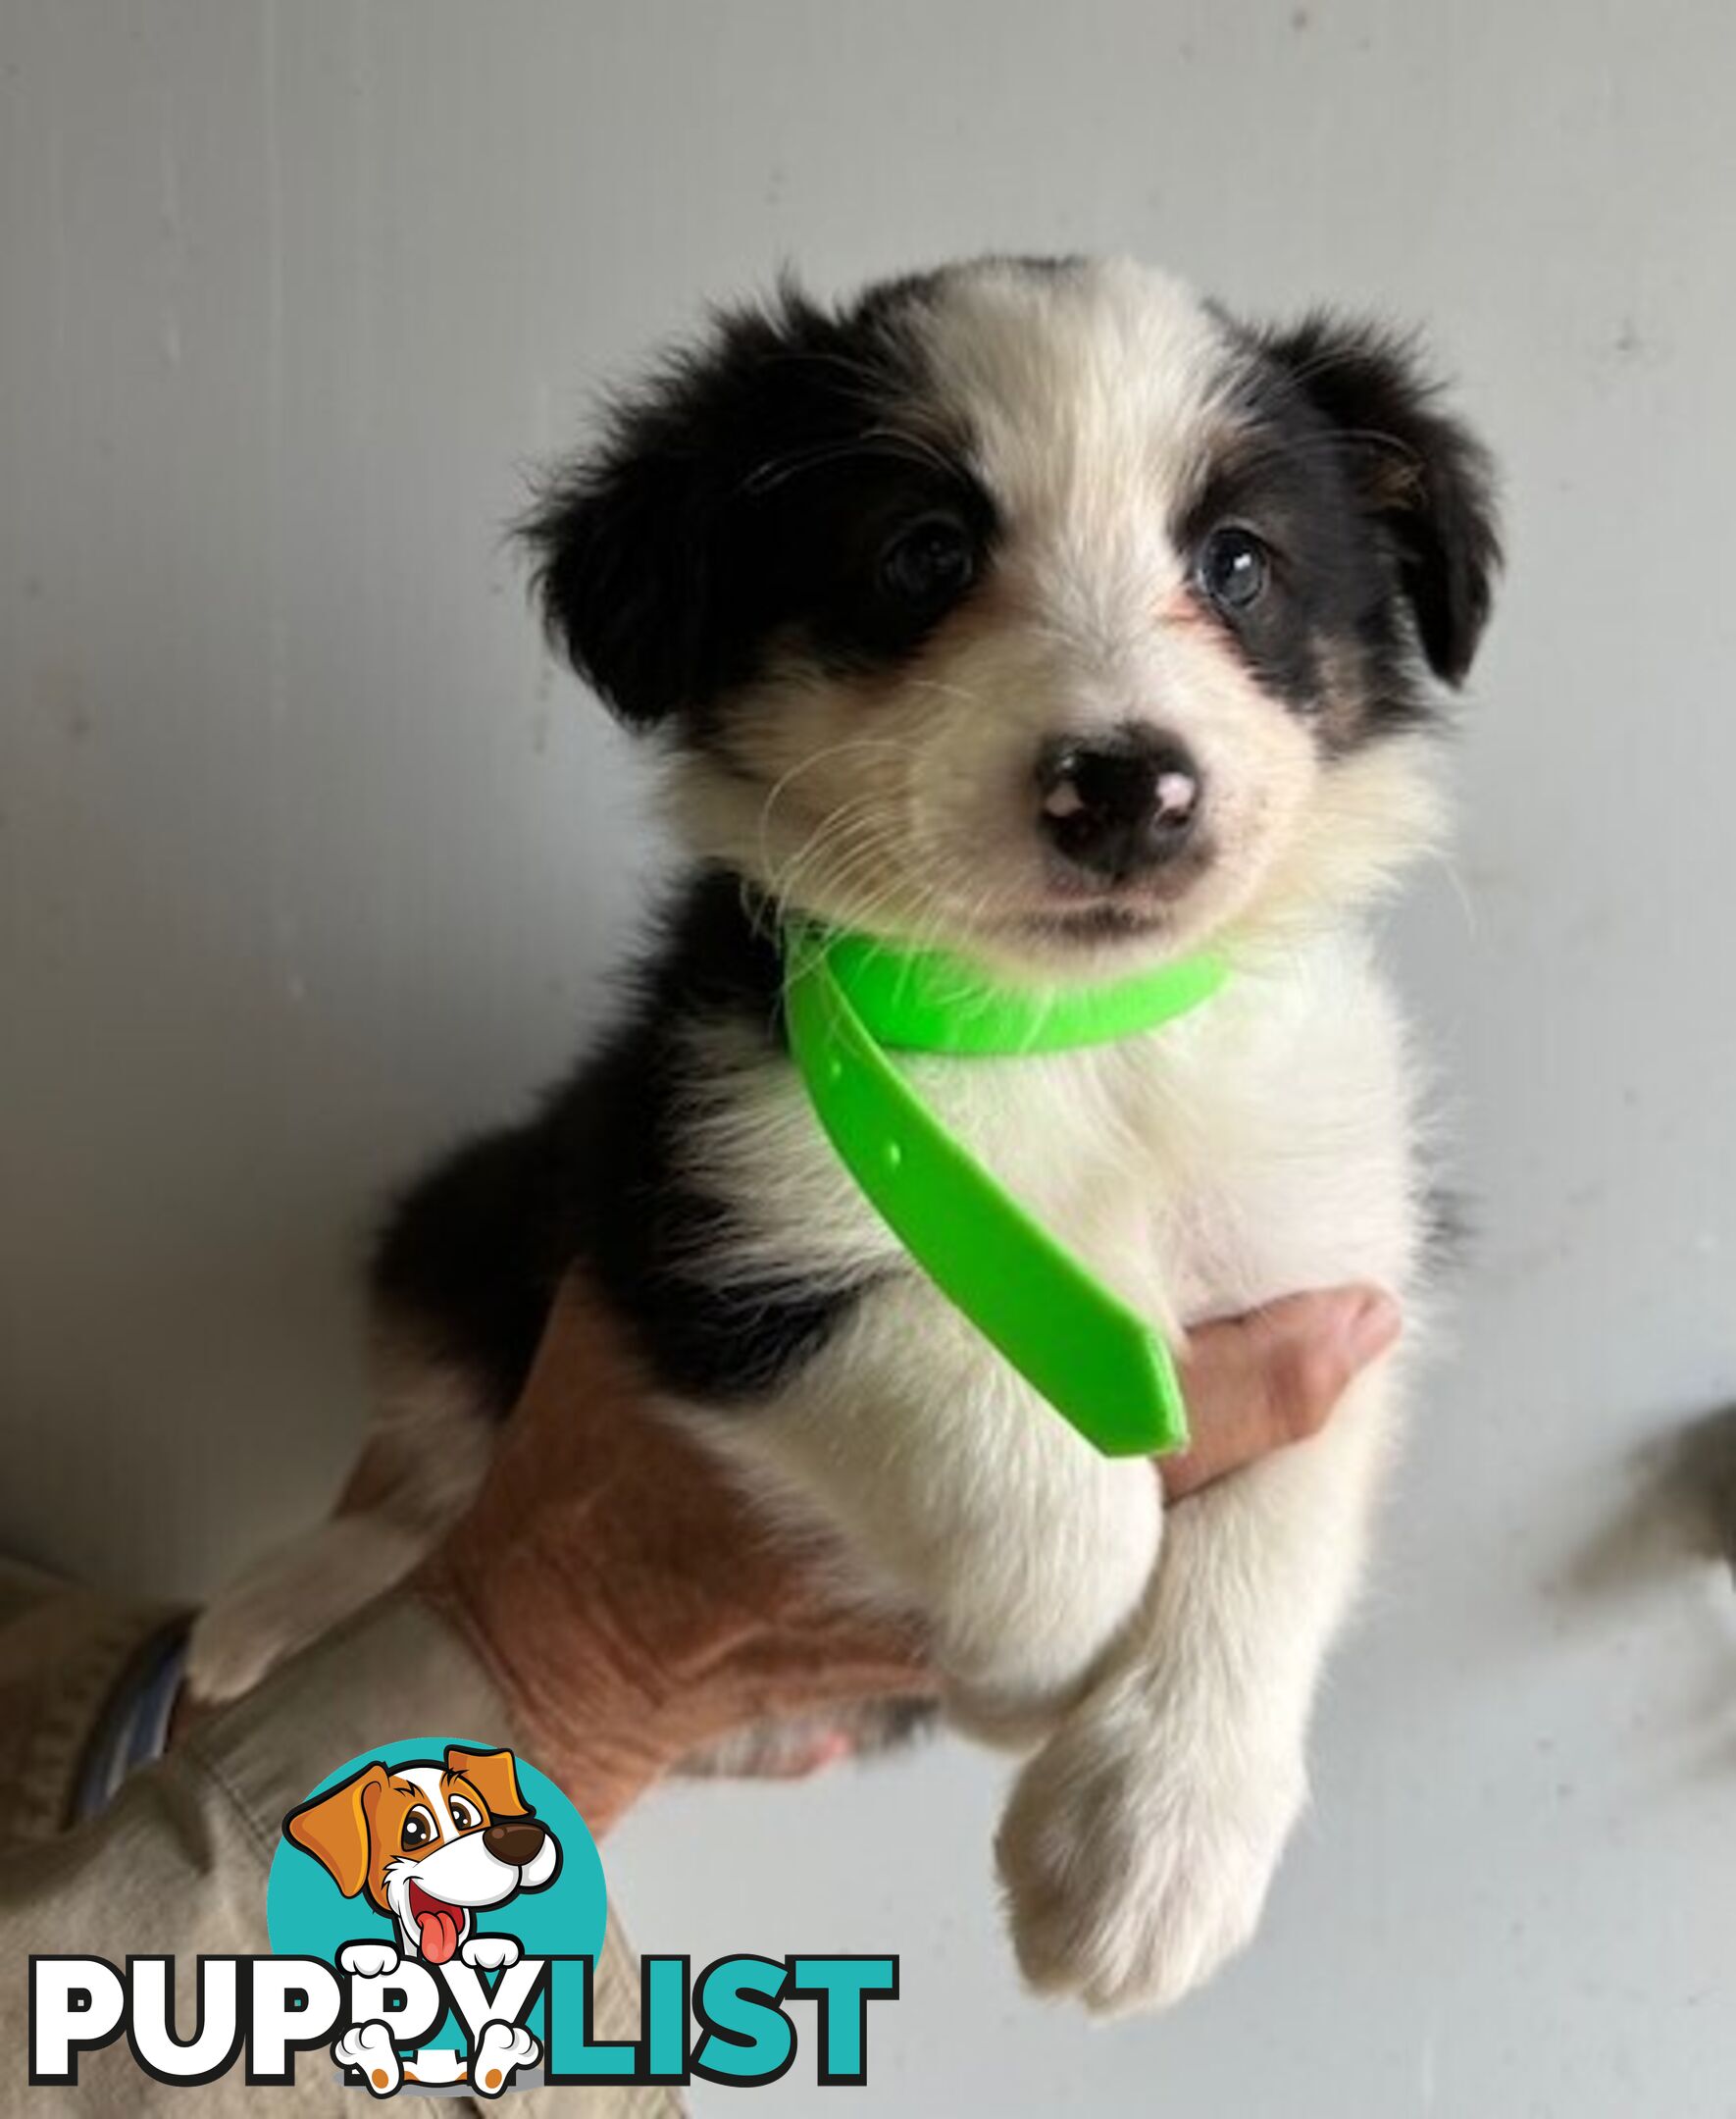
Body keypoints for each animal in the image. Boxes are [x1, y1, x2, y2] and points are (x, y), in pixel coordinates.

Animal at [186, 256, 1492, 2008]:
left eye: (1237, 562)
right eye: (922, 552)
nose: (1124, 787)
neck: (1064, 1033)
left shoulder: (1330, 1264)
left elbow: (1271, 1536)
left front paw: (1153, 1841)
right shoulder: (706, 1203)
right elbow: (999, 1428)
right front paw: (1039, 1656)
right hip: (467, 1216)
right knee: (417, 1477)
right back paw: (272, 1608)